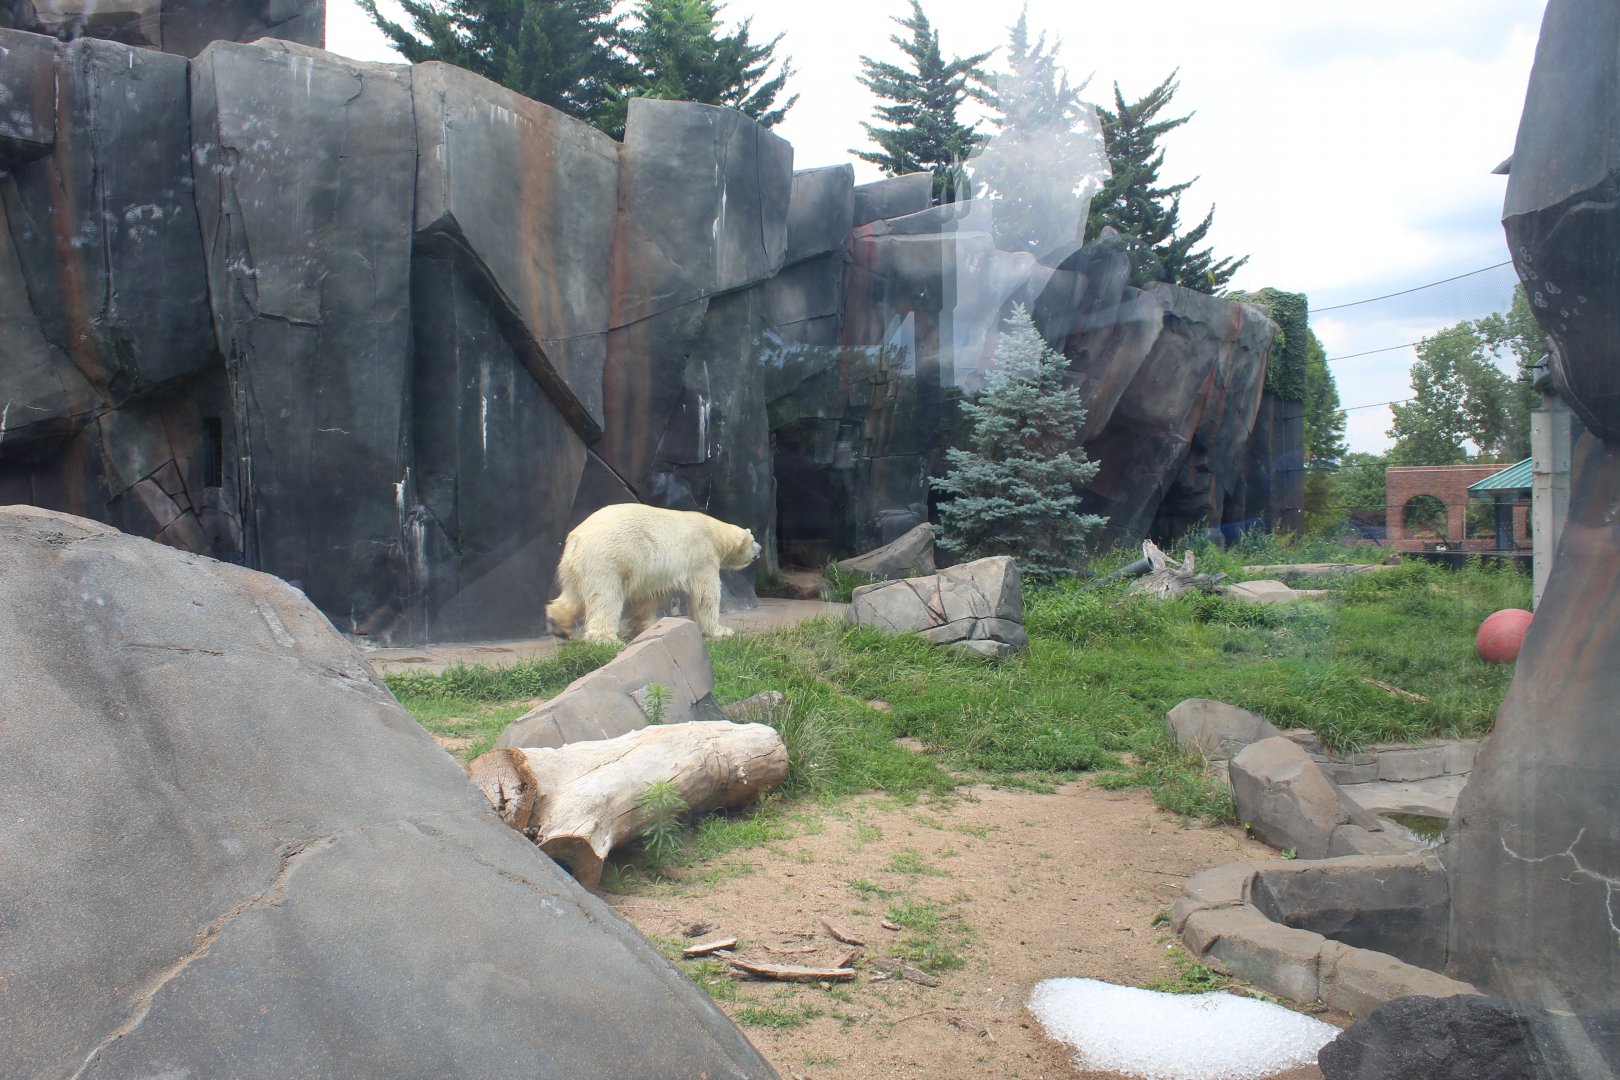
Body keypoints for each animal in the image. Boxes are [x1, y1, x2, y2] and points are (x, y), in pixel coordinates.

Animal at [545, 503, 761, 644]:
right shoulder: (702, 554)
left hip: (574, 567)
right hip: (607, 561)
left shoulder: (655, 573)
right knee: (605, 598)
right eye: (753, 539)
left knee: (573, 596)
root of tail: (576, 539)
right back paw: (606, 639)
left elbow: (648, 599)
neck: (713, 530)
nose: (759, 550)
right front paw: (721, 630)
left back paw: (559, 623)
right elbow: (704, 596)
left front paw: (646, 627)